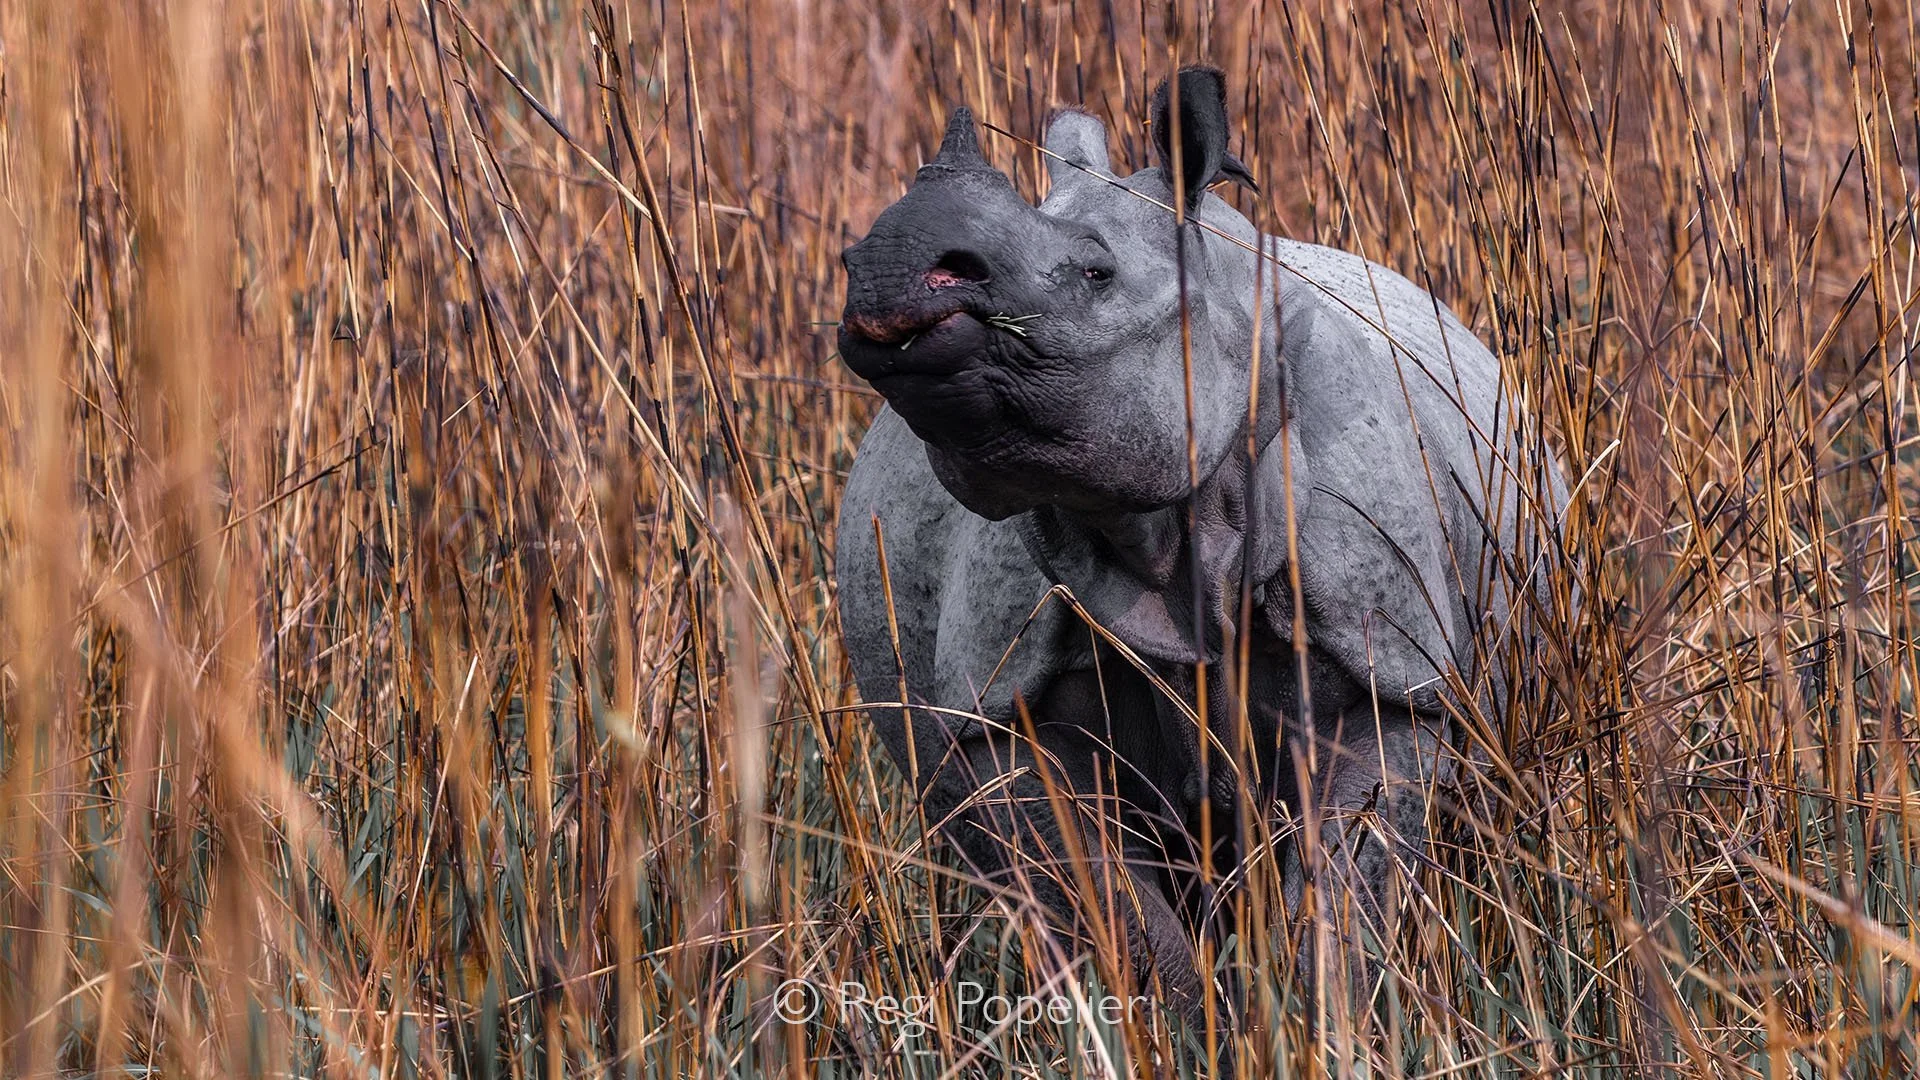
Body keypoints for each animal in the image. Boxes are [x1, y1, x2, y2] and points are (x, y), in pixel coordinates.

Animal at [833, 66, 1567, 1023]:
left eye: (1096, 273)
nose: (886, 270)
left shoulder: (1396, 669)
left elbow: (1344, 900)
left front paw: (1317, 1026)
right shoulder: (993, 710)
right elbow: (1119, 923)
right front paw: (1180, 1029)